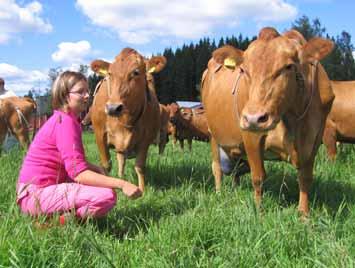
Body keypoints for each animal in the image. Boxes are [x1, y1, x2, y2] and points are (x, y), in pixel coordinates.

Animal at [89, 47, 167, 191]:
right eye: (110, 74)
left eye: (136, 72)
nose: (113, 108)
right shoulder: (99, 134)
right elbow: (106, 165)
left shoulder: (145, 139)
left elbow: (140, 166)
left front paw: (142, 190)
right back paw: (120, 178)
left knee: (122, 159)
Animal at [202, 27, 336, 216]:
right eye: (243, 70)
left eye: (288, 66)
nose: (254, 118)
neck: (292, 117)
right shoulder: (251, 136)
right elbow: (258, 177)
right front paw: (259, 212)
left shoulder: (315, 136)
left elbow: (305, 177)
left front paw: (304, 214)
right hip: (213, 134)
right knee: (217, 168)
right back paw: (219, 193)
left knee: (235, 171)